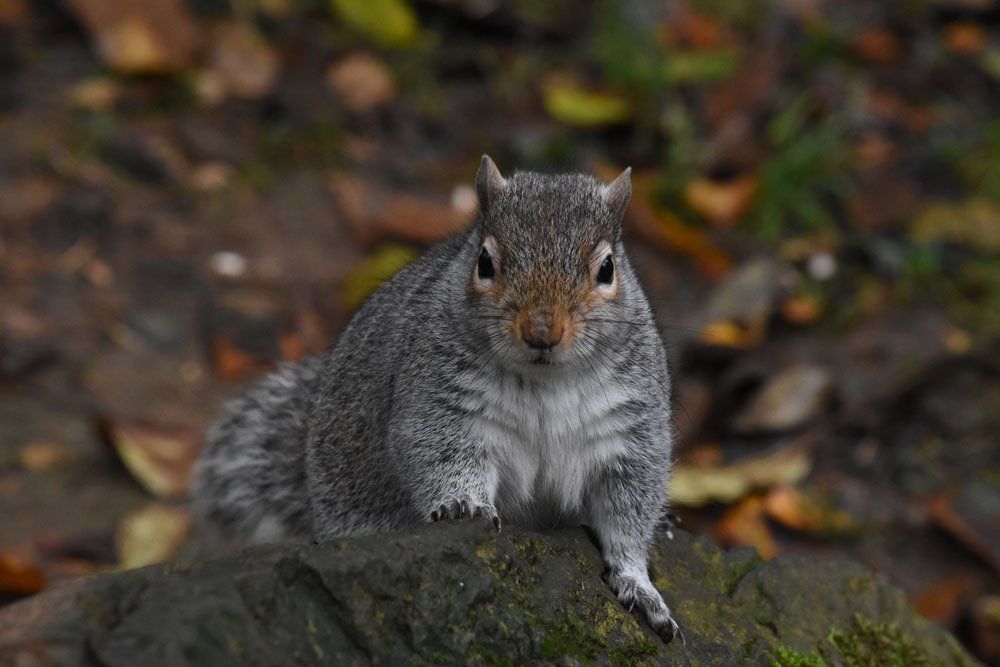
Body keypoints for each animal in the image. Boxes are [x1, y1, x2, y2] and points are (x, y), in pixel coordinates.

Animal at [192, 156, 681, 644]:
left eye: (607, 269)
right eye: (485, 262)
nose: (542, 331)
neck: (545, 381)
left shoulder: (630, 430)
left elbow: (628, 514)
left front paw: (639, 585)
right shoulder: (440, 403)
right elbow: (439, 455)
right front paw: (464, 505)